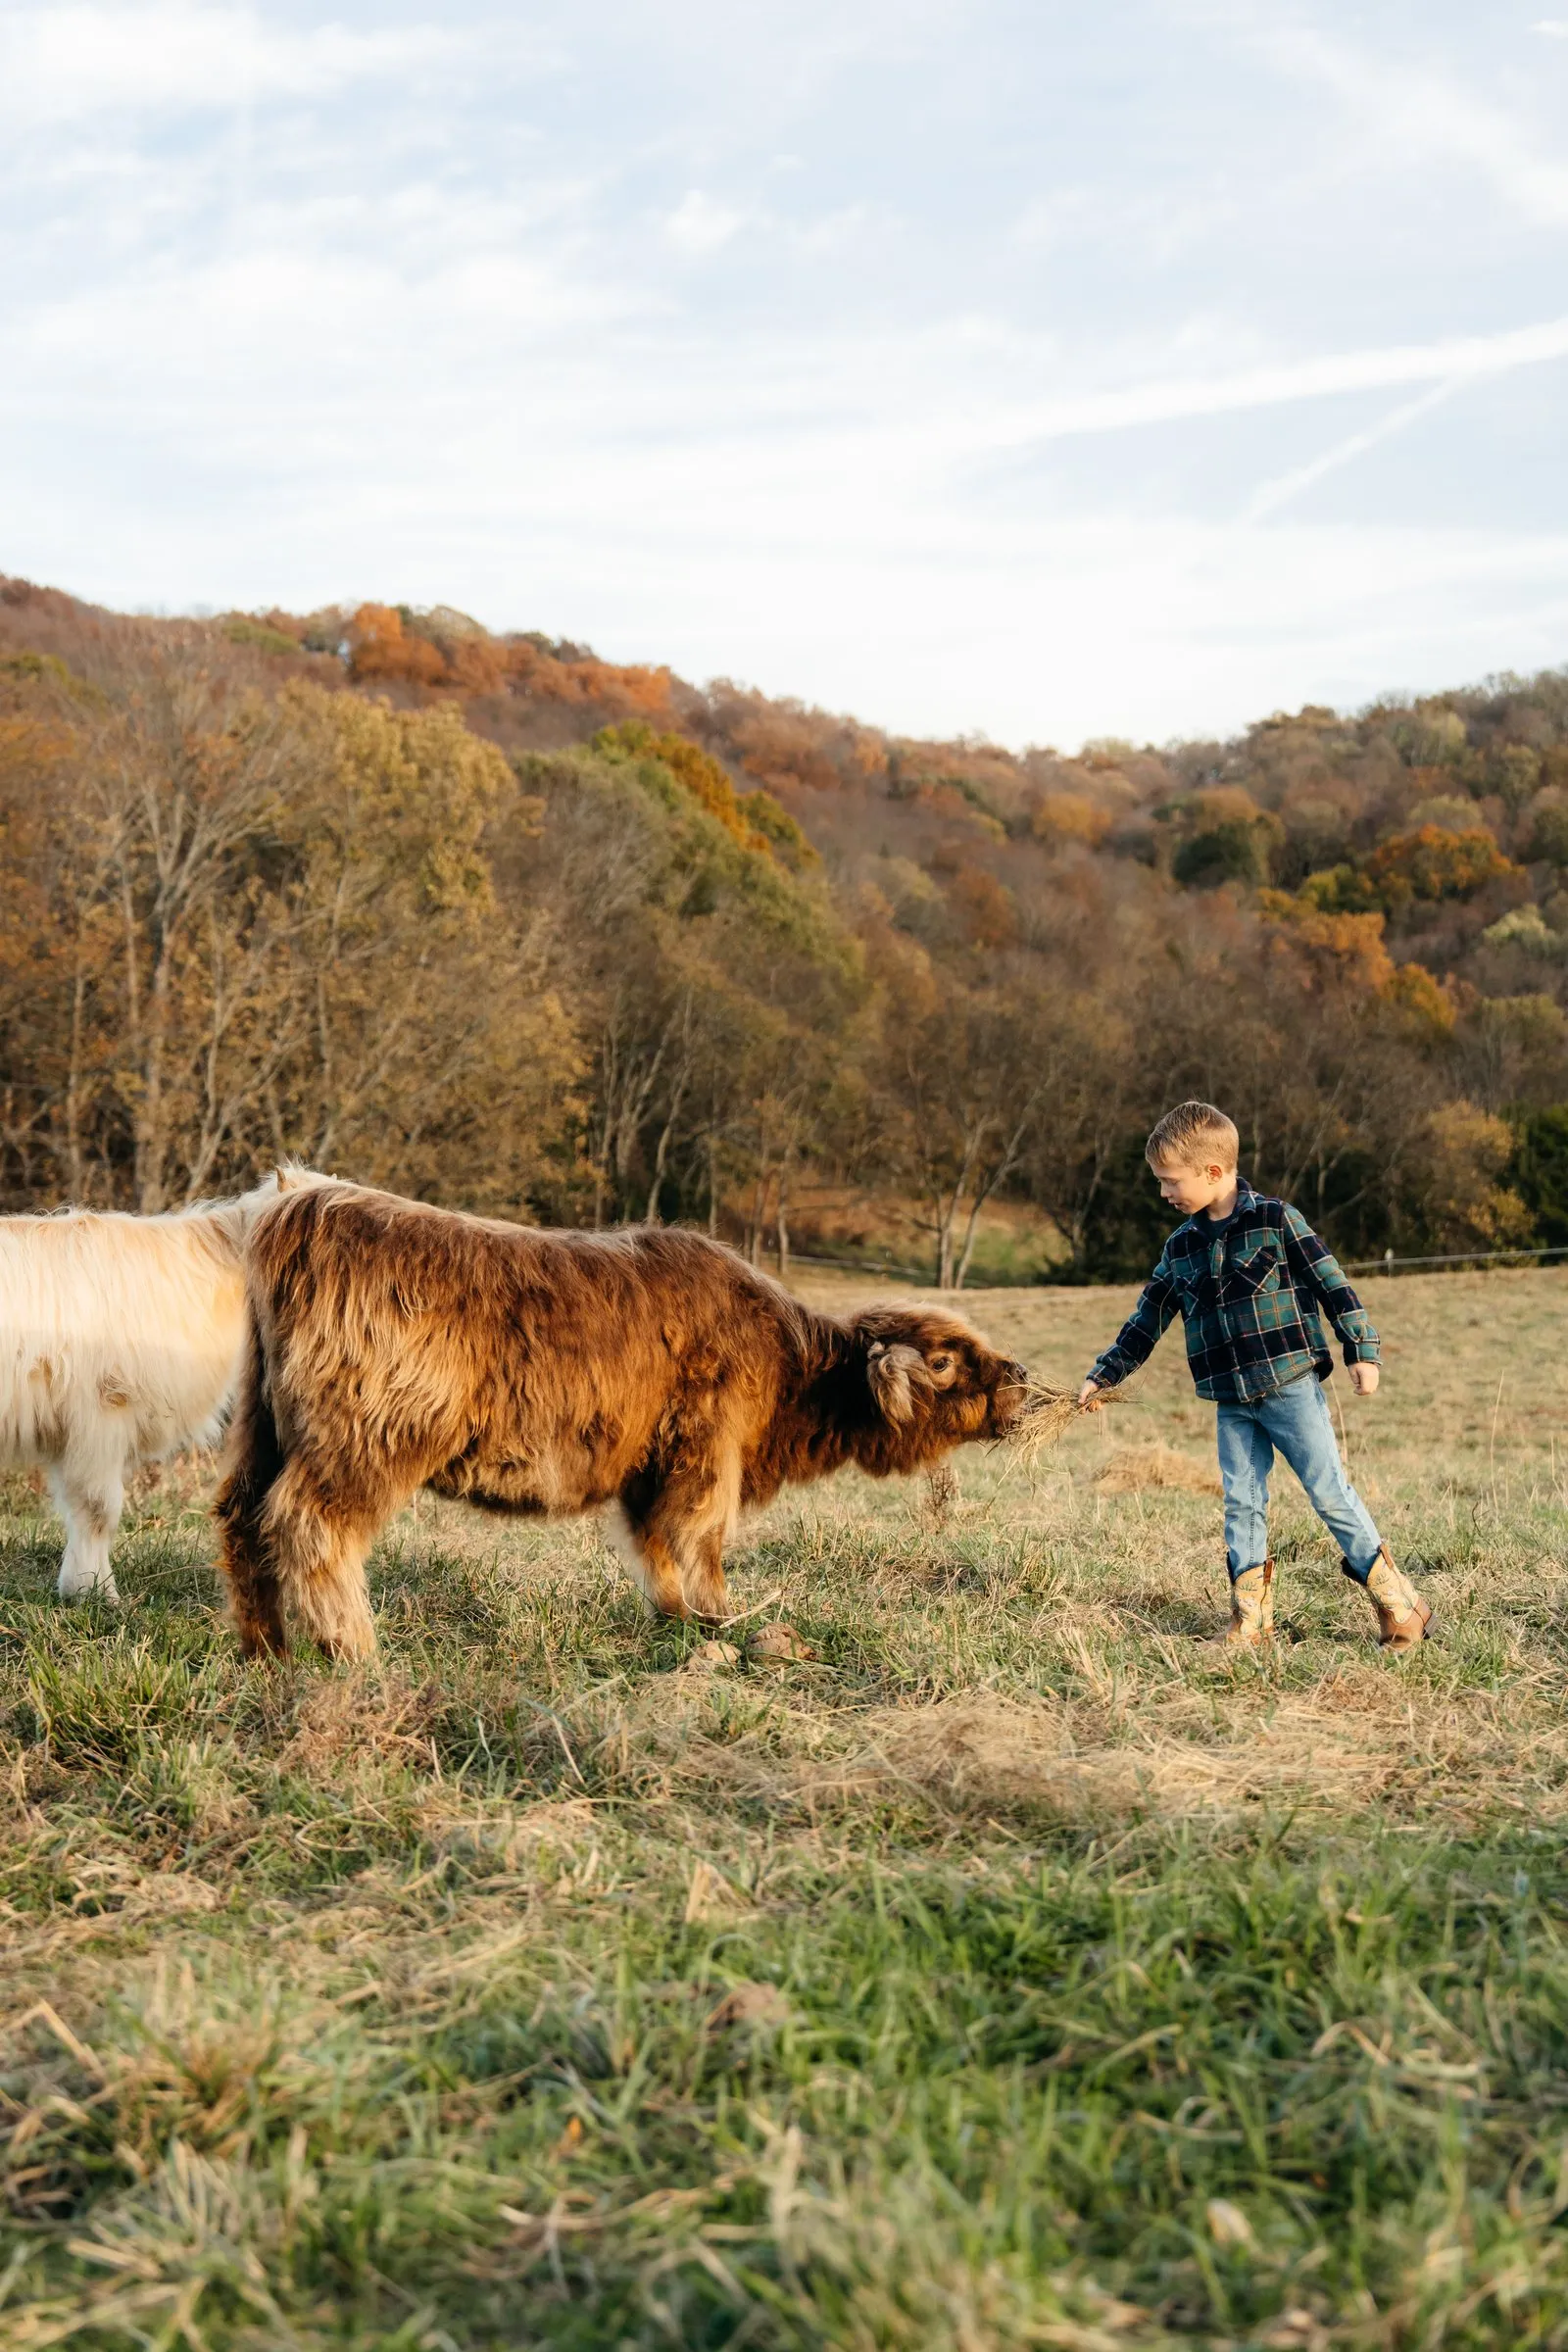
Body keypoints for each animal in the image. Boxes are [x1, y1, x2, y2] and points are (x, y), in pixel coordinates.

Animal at [214, 1181, 1034, 1660]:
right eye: (946, 1360)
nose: (1021, 1376)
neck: (790, 1373)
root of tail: (305, 1204)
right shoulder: (705, 1454)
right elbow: (700, 1539)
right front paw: (719, 1623)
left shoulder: (653, 1465)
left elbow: (656, 1546)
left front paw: (677, 1619)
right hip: (368, 1438)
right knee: (310, 1523)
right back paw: (353, 1649)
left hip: (263, 1427)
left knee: (242, 1519)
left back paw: (267, 1648)